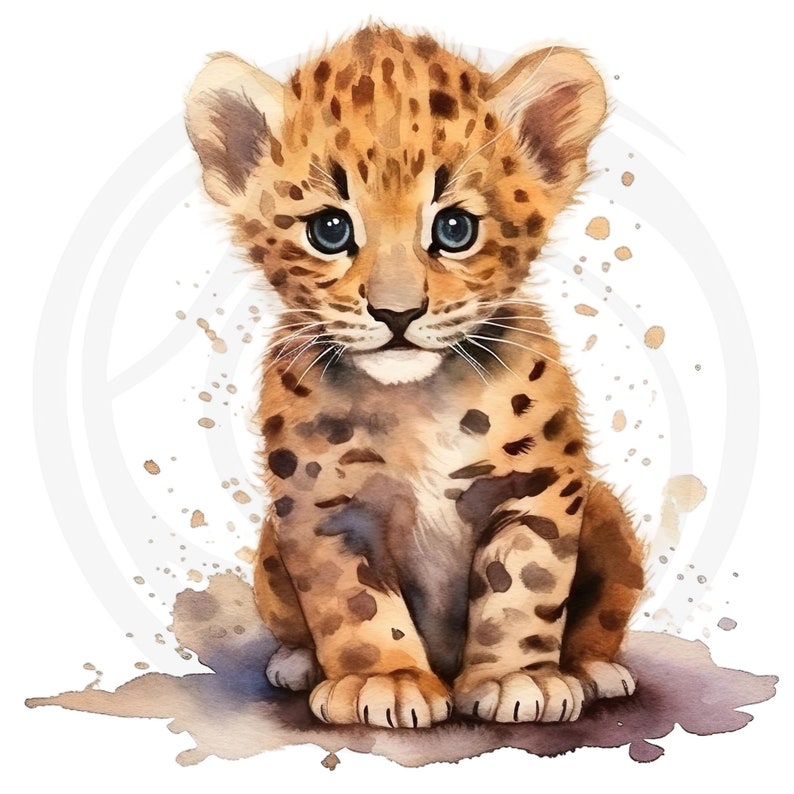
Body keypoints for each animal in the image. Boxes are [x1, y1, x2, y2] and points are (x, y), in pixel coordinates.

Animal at [185, 24, 645, 728]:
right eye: (330, 229)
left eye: (454, 228)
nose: (397, 314)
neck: (417, 402)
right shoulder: (322, 507)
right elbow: (354, 603)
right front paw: (388, 679)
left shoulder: (538, 487)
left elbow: (524, 587)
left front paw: (517, 678)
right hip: (267, 549)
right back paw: (296, 662)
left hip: (610, 516)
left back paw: (592, 669)